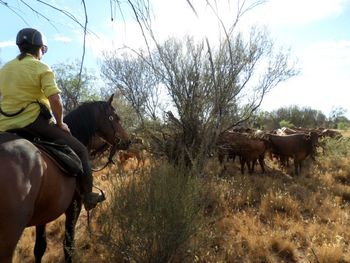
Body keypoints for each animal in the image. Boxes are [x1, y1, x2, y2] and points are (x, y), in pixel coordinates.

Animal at [0, 94, 130, 262]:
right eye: (116, 118)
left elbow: (40, 248)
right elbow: (68, 246)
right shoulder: (74, 206)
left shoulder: (43, 214)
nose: (128, 141)